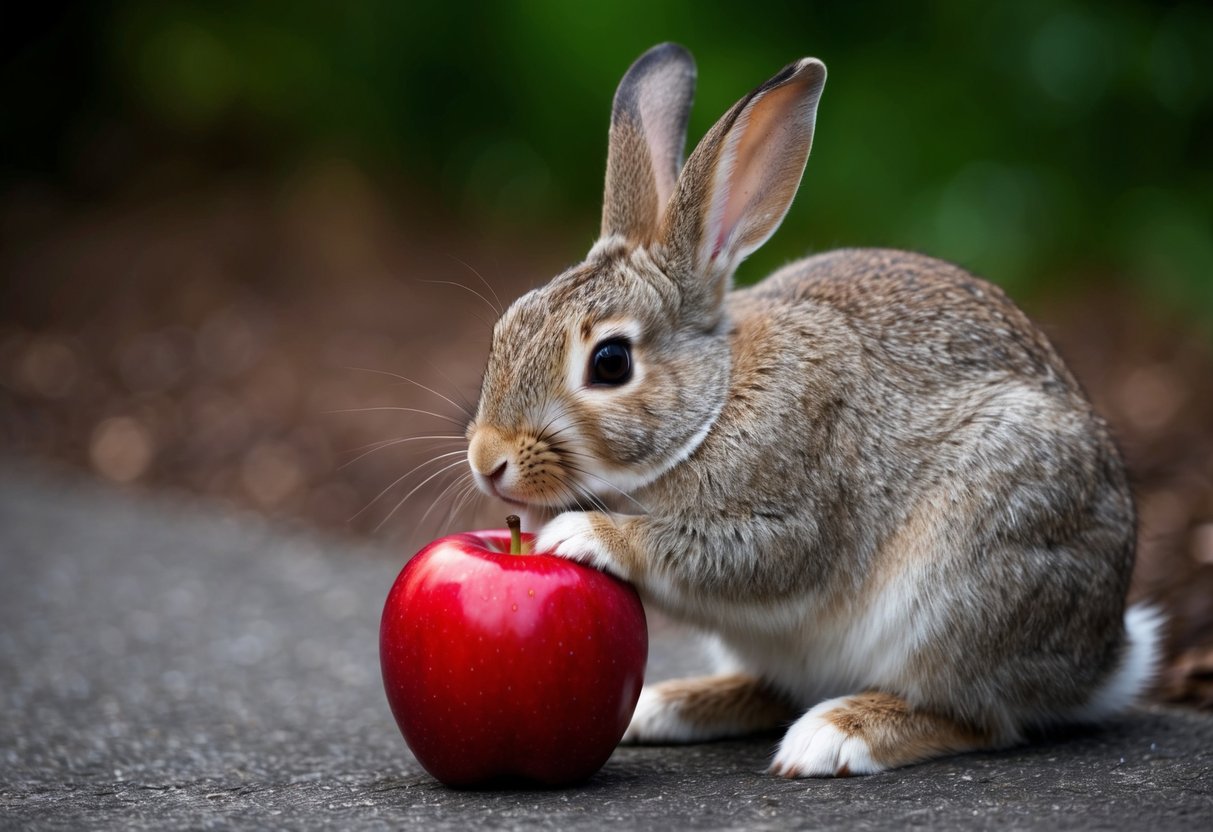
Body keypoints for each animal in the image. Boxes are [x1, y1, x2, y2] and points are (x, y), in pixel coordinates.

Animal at [464, 42, 1163, 777]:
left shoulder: (794, 513)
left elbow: (728, 553)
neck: (714, 405)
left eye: (610, 362)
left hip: (969, 586)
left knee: (980, 717)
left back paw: (835, 735)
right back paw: (669, 706)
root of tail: (1101, 661)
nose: (488, 461)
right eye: (507, 325)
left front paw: (579, 536)